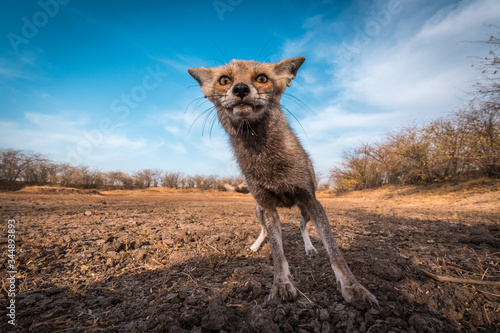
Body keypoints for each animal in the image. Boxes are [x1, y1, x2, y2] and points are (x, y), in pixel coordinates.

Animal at [189, 55, 376, 308]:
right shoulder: (267, 206)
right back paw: (256, 245)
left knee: (301, 226)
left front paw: (353, 287)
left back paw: (309, 247)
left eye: (262, 78)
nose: (240, 89)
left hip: (304, 209)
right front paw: (281, 284)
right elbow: (278, 253)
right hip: (258, 210)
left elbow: (334, 251)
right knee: (264, 230)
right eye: (224, 80)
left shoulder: (311, 200)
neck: (270, 163)